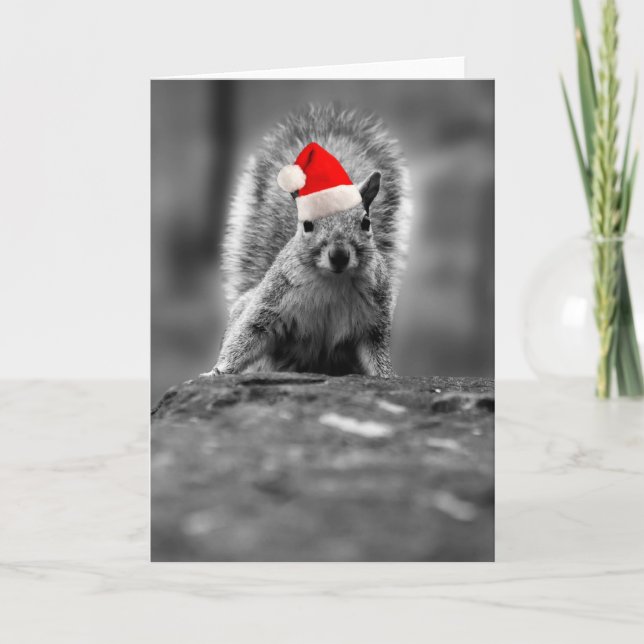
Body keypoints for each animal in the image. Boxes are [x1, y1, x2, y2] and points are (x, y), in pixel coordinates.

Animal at [206, 104, 412, 378]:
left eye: (366, 222)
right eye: (307, 225)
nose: (339, 255)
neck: (332, 282)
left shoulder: (373, 321)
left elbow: (377, 354)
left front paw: (387, 376)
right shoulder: (271, 303)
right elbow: (247, 335)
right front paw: (217, 371)